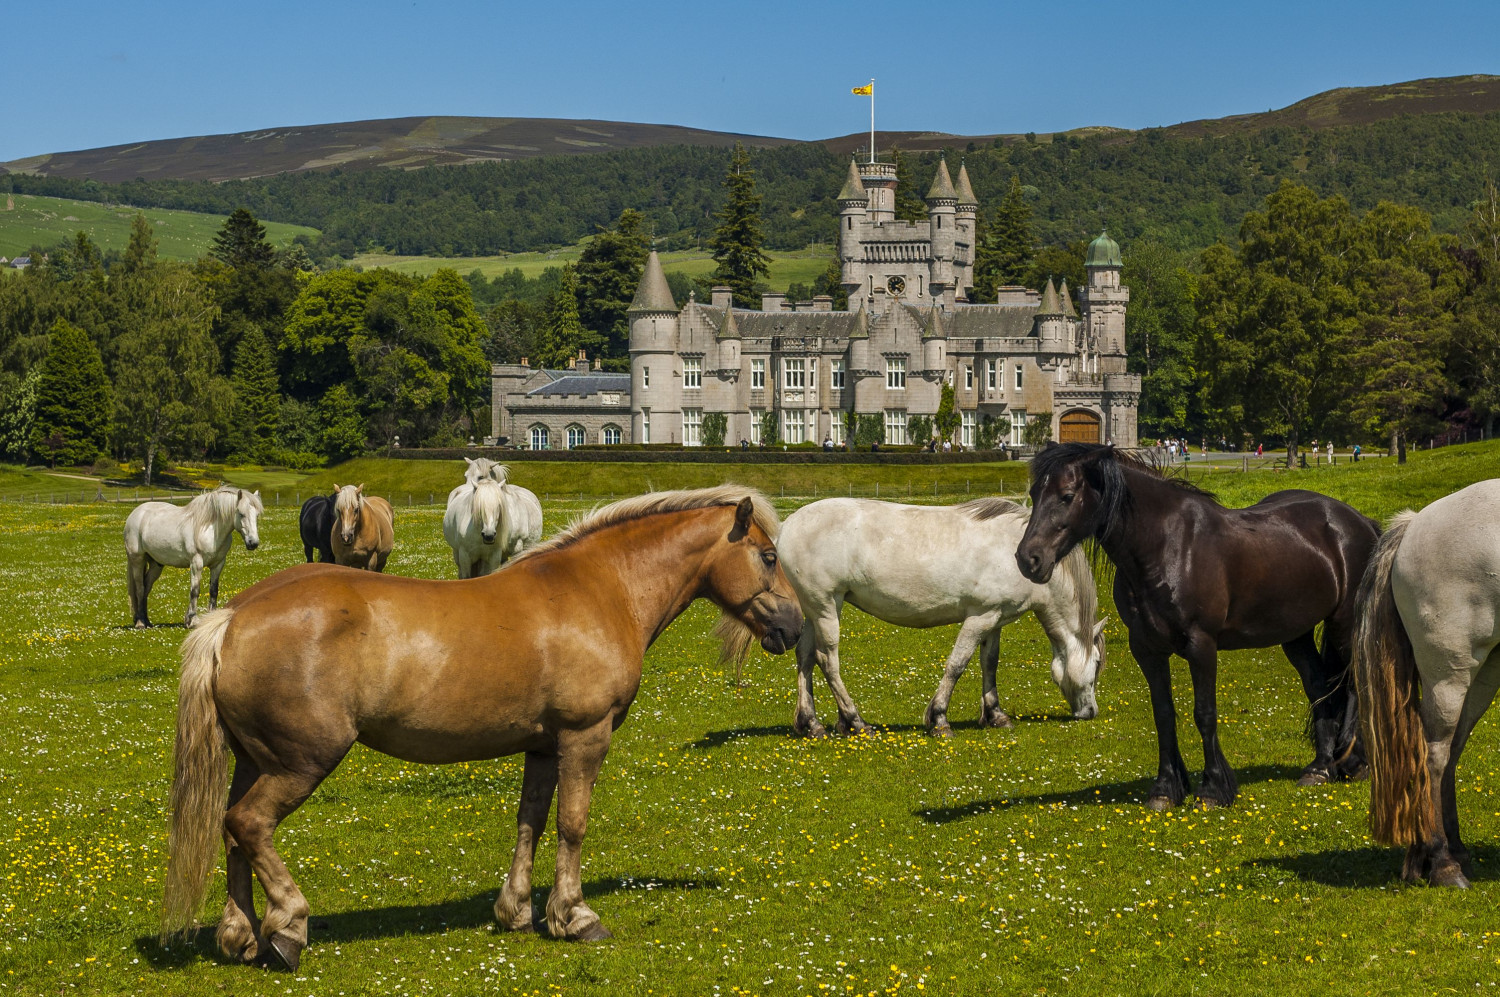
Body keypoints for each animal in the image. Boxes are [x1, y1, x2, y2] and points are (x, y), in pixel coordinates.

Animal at [125, 482, 264, 629]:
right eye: (241, 514)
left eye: (256, 515)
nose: (253, 543)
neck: (210, 529)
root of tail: (135, 514)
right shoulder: (196, 563)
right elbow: (195, 591)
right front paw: (192, 620)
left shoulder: (218, 564)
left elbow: (214, 590)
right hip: (137, 560)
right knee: (140, 588)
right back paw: (140, 622)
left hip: (156, 565)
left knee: (146, 587)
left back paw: (146, 621)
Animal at [158, 485, 804, 965]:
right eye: (770, 557)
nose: (795, 627)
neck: (601, 588)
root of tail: (231, 617)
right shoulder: (584, 737)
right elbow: (572, 825)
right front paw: (575, 916)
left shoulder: (543, 747)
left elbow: (531, 822)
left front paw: (515, 910)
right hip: (301, 762)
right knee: (249, 824)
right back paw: (288, 927)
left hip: (254, 760)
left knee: (232, 834)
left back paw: (240, 936)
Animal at [780, 494, 1110, 734]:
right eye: (1096, 664)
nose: (1090, 712)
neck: (1019, 554)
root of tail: (789, 525)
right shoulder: (979, 617)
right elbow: (957, 665)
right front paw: (939, 719)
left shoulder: (995, 619)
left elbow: (989, 664)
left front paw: (996, 715)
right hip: (826, 607)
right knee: (827, 660)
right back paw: (856, 720)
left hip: (814, 610)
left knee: (805, 657)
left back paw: (812, 723)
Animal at [1014, 443, 1374, 809]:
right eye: (1034, 493)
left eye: (1067, 495)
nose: (1029, 559)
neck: (1166, 546)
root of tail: (1359, 522)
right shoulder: (1146, 649)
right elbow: (1163, 714)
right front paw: (1165, 788)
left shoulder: (1201, 645)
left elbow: (1204, 713)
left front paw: (1213, 789)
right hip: (1296, 634)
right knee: (1319, 686)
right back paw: (1320, 768)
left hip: (1344, 625)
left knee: (1356, 684)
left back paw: (1354, 763)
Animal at [1356, 479, 1500, 887]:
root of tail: (1415, 522)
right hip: (1449, 674)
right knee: (1435, 754)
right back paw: (1442, 862)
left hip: (1483, 674)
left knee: (1450, 752)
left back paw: (1450, 853)